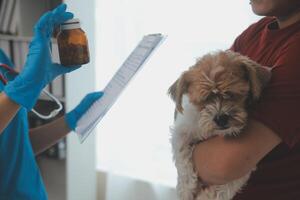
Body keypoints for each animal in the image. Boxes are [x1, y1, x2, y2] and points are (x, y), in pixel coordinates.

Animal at [169, 50, 272, 200]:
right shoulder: (181, 132)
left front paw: (206, 195)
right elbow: (182, 157)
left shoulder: (243, 165)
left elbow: (228, 187)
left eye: (232, 94)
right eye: (204, 100)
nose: (221, 118)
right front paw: (186, 189)